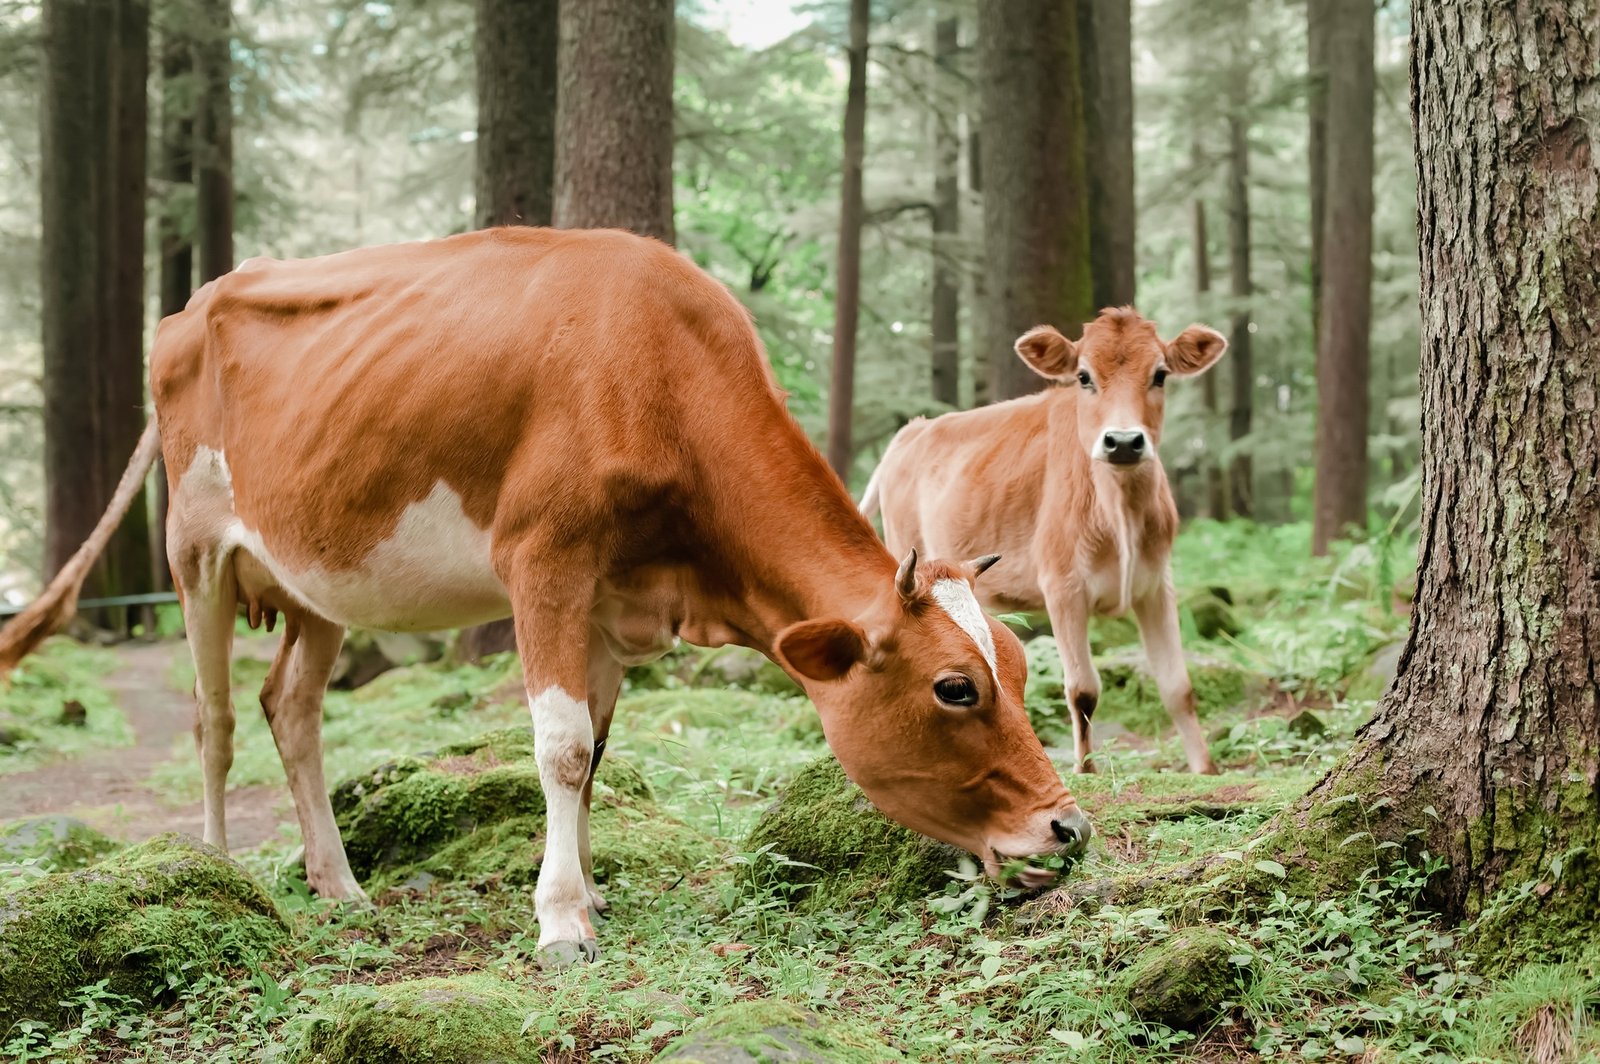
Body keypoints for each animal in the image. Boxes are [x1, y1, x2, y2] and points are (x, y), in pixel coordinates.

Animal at [0, 228, 1092, 965]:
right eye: (954, 687)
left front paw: (590, 894)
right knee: (215, 716)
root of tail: (194, 303)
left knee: (291, 706)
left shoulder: (612, 599)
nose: (1068, 828)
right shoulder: (545, 561)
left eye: (1018, 664)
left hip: (319, 574)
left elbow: (596, 753)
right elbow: (560, 747)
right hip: (194, 549)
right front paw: (562, 920)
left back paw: (340, 885)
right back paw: (224, 872)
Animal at [860, 307, 1227, 776]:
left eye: (1160, 374)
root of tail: (911, 431)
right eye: (1084, 377)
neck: (1119, 509)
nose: (1124, 441)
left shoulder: (1156, 584)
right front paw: (1085, 771)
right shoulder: (1062, 583)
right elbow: (1083, 689)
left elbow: (1178, 685)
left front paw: (1205, 769)